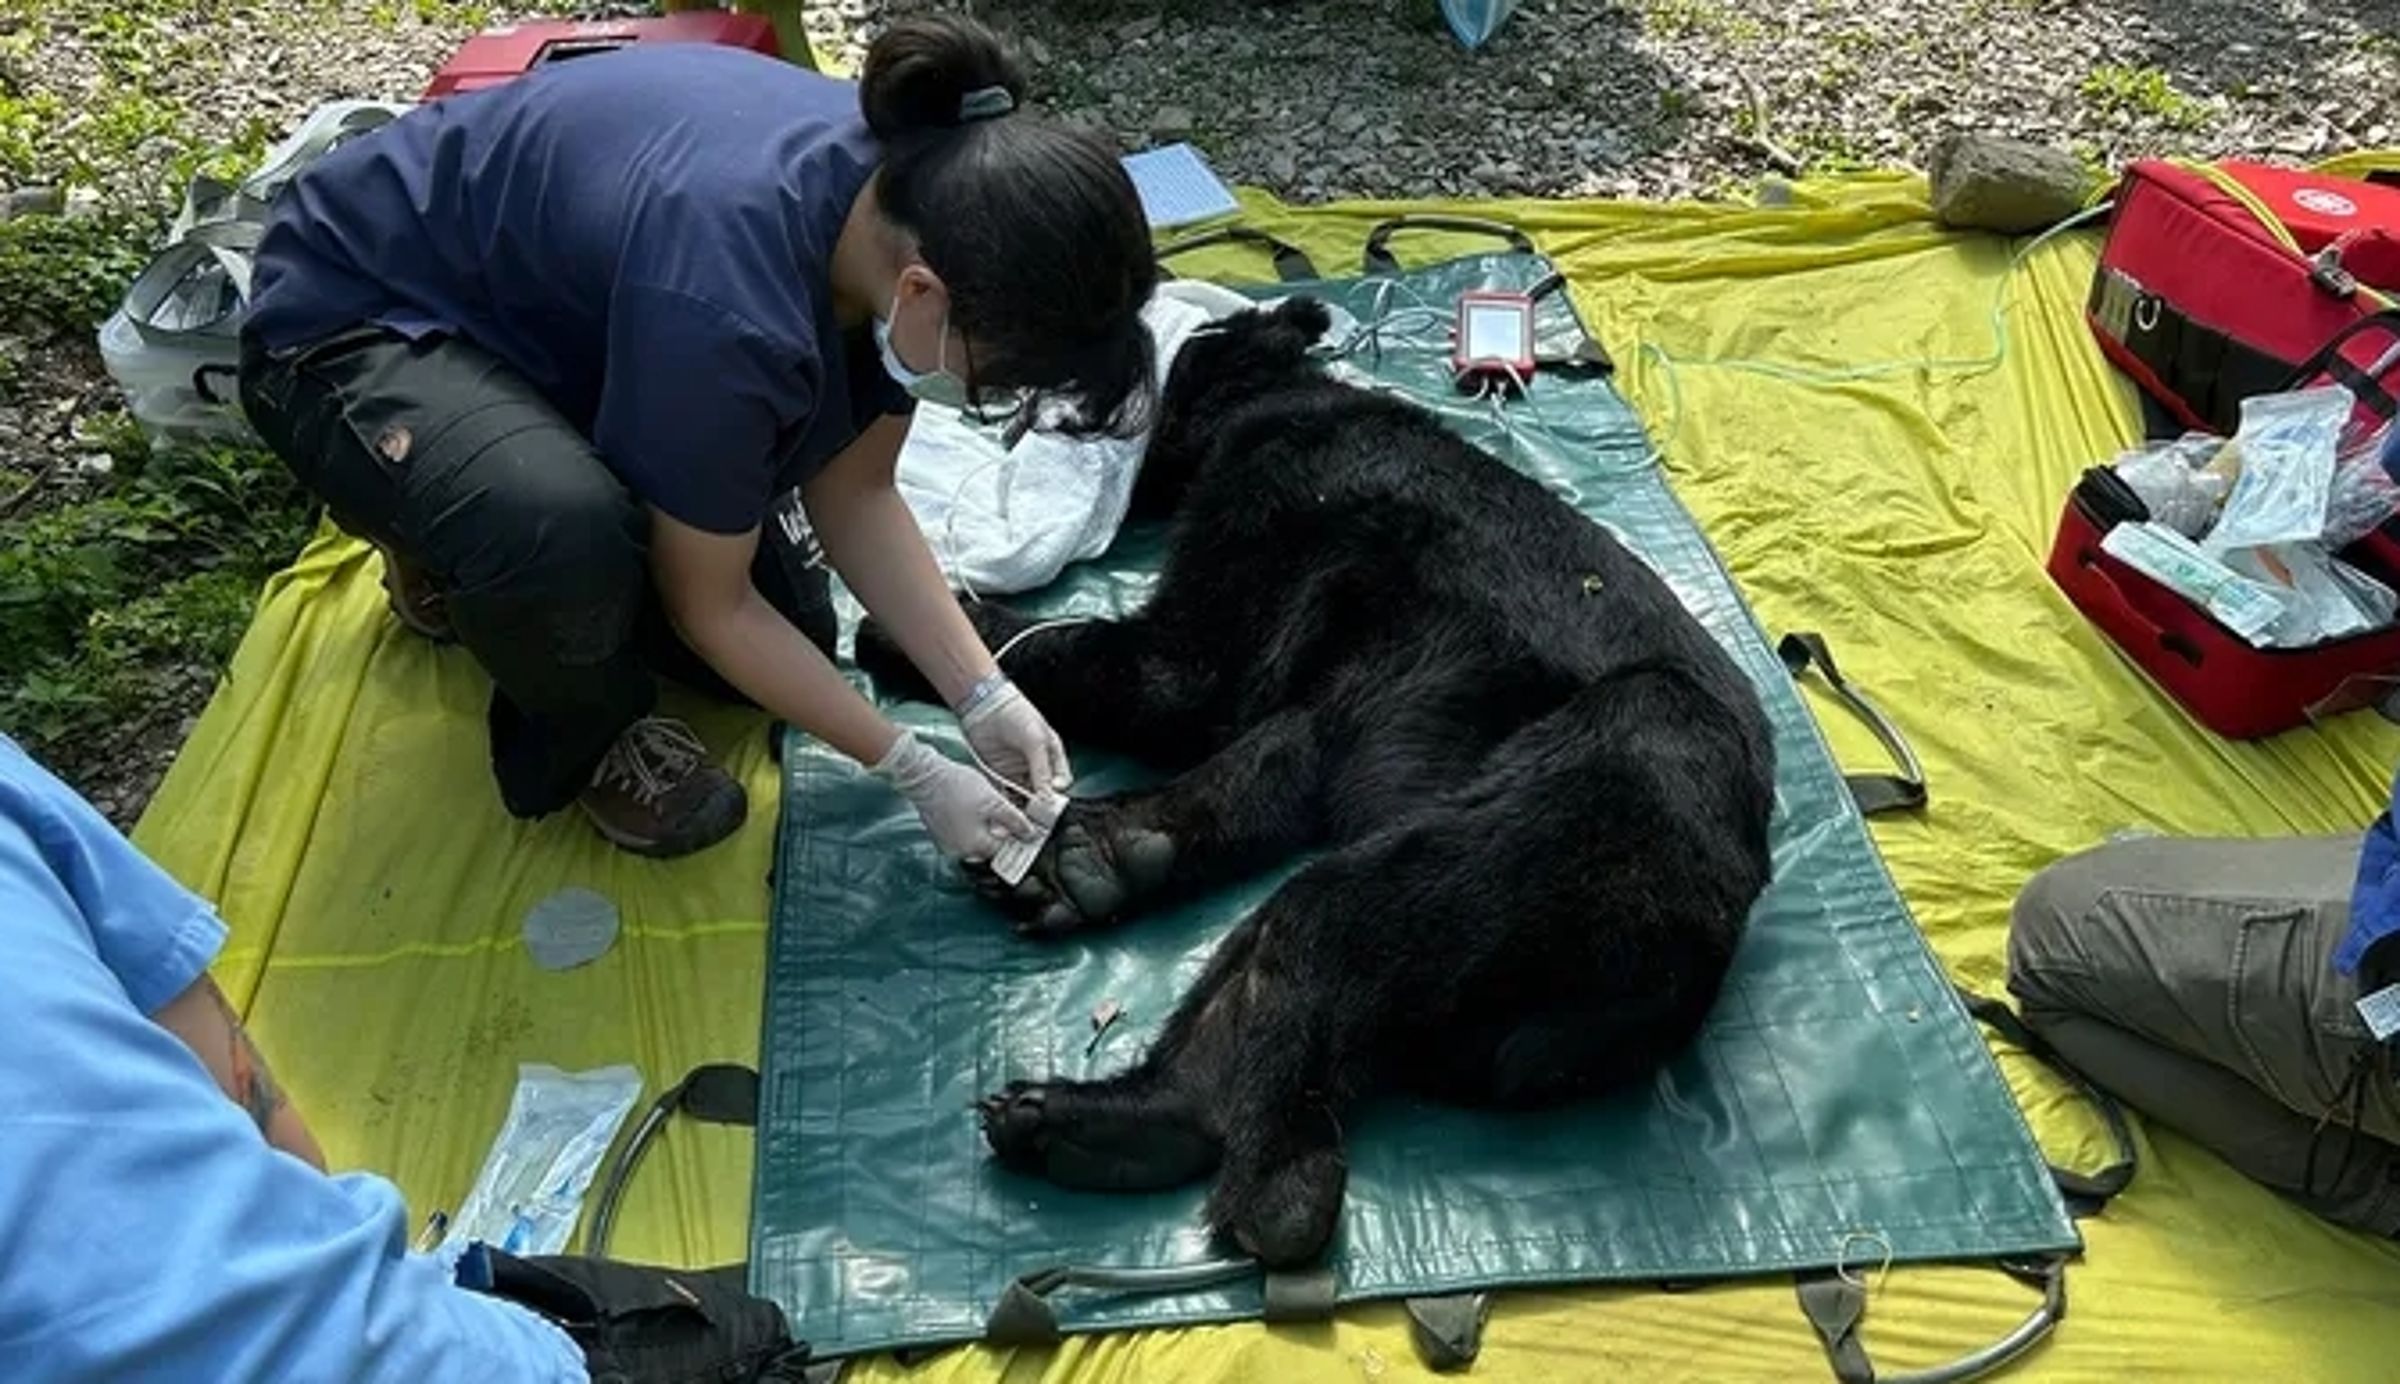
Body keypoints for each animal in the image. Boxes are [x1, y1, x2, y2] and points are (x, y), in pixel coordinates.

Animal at [854, 297, 1777, 1267]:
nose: (1021, 410)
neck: (1272, 395)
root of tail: (1686, 964)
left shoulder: (1268, 523)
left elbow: (1166, 673)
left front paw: (921, 629)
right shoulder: (1346, 685)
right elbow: (1274, 758)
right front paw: (1113, 846)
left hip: (1582, 805)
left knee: (1322, 936)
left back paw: (1168, 1147)